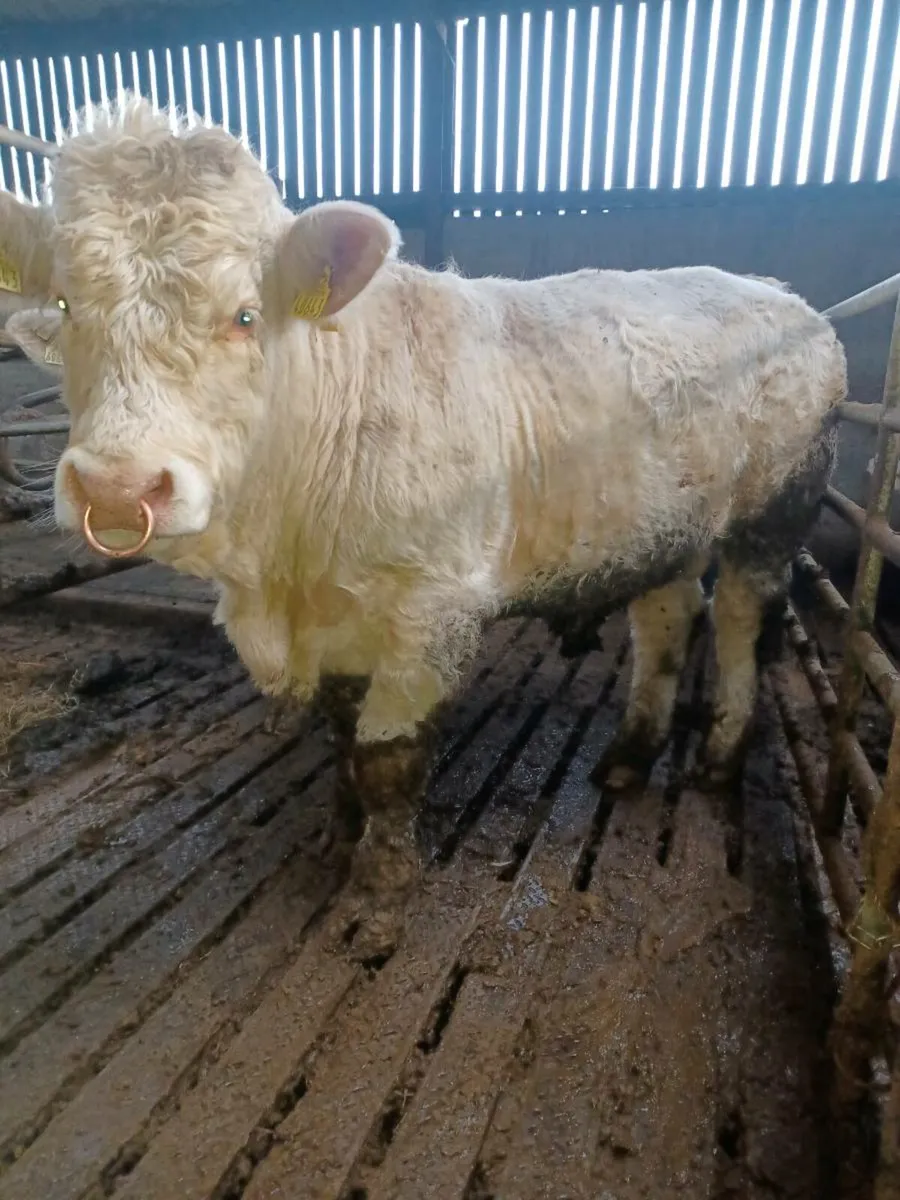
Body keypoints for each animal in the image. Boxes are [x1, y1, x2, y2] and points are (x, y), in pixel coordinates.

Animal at [0, 97, 847, 957]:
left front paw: (376, 893)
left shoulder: (431, 608)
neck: (282, 567)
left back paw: (717, 757)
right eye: (66, 305)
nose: (118, 486)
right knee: (669, 616)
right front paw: (338, 836)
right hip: (664, 524)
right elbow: (342, 737)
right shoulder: (336, 620)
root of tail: (791, 302)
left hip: (775, 509)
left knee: (740, 618)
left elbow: (386, 757)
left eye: (244, 315)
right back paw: (629, 756)